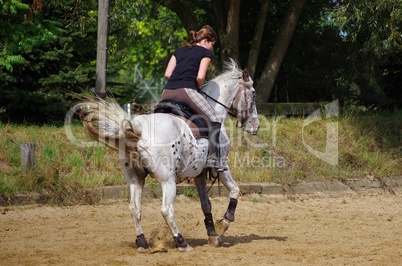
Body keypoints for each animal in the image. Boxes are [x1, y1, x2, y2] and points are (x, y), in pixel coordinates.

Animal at [73, 58, 260, 251]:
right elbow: (235, 191)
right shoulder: (221, 167)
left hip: (135, 177)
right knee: (166, 210)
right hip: (168, 180)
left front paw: (213, 234)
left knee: (134, 207)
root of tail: (138, 127)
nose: (255, 126)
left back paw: (142, 242)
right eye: (253, 94)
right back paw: (181, 242)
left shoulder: (199, 173)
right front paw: (224, 222)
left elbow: (206, 203)